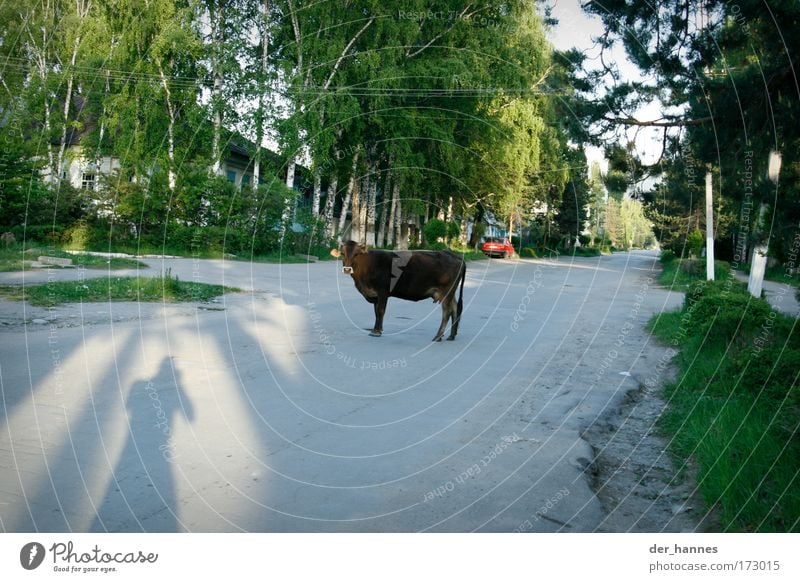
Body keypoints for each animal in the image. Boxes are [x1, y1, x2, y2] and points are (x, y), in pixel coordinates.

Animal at [332, 242, 468, 342]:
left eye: (356, 254)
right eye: (342, 253)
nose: (347, 269)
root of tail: (455, 256)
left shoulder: (383, 291)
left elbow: (380, 311)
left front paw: (377, 332)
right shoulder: (375, 294)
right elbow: (376, 312)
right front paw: (376, 329)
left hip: (446, 291)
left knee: (447, 312)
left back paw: (438, 336)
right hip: (450, 293)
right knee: (455, 308)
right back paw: (451, 335)